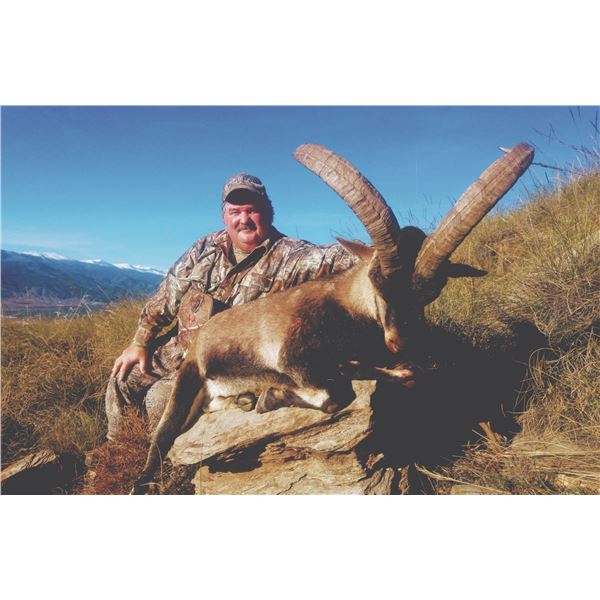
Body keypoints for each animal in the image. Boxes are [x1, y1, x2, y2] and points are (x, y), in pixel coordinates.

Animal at [132, 142, 534, 493]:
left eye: (430, 293)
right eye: (376, 279)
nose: (400, 341)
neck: (350, 308)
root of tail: (199, 339)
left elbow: (401, 374)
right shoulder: (295, 356)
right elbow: (333, 396)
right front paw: (273, 396)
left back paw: (243, 400)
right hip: (186, 382)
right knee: (162, 440)